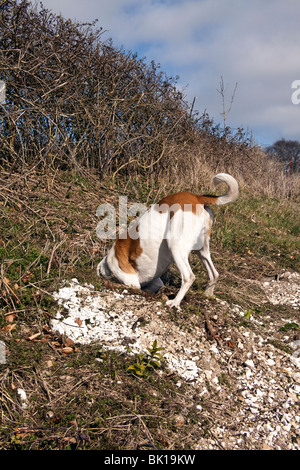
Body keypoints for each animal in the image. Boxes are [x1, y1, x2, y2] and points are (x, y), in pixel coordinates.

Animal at [98, 173, 239, 308]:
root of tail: (196, 197)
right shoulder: (155, 282)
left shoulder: (131, 281)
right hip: (201, 250)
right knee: (214, 274)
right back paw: (207, 295)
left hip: (176, 247)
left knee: (188, 277)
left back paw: (175, 302)